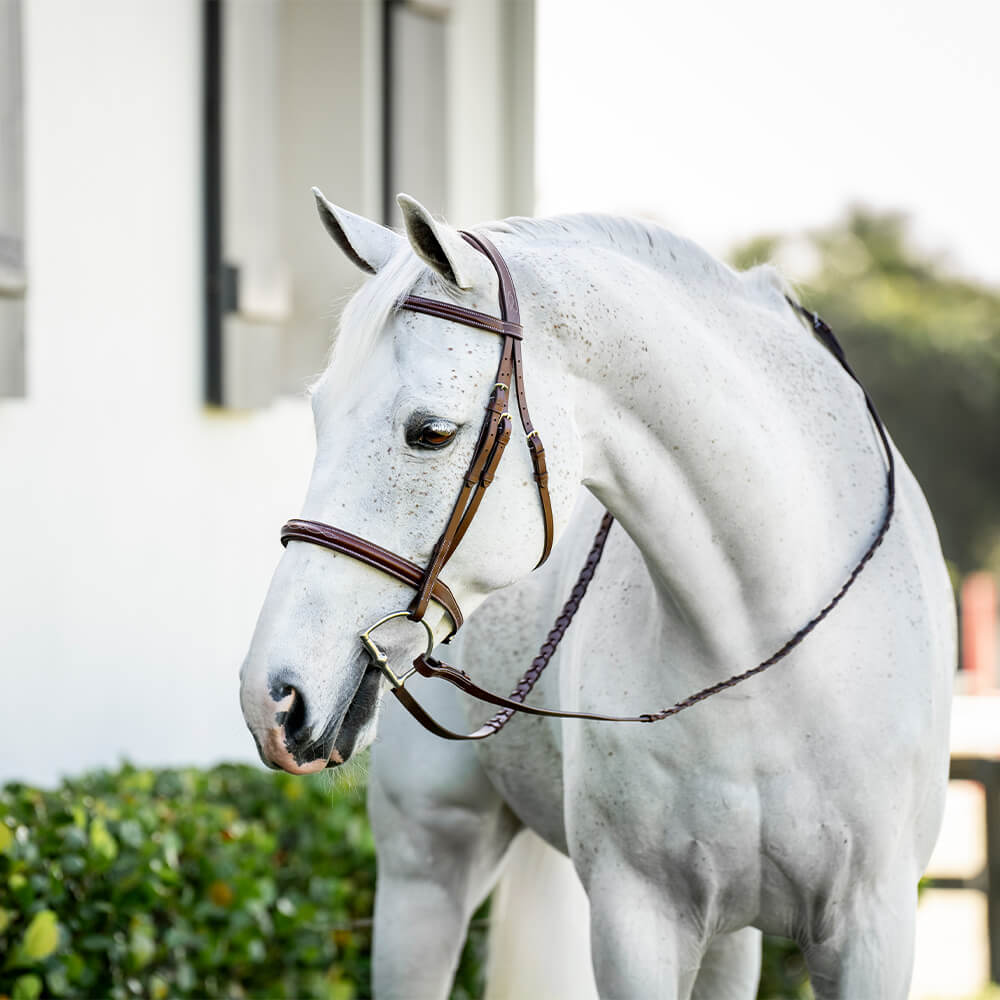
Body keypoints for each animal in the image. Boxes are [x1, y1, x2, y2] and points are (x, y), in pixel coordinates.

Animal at [239, 190, 955, 999]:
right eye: (318, 414)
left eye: (431, 433)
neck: (765, 653)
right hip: (428, 865)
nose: (273, 697)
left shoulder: (872, 927)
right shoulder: (637, 918)